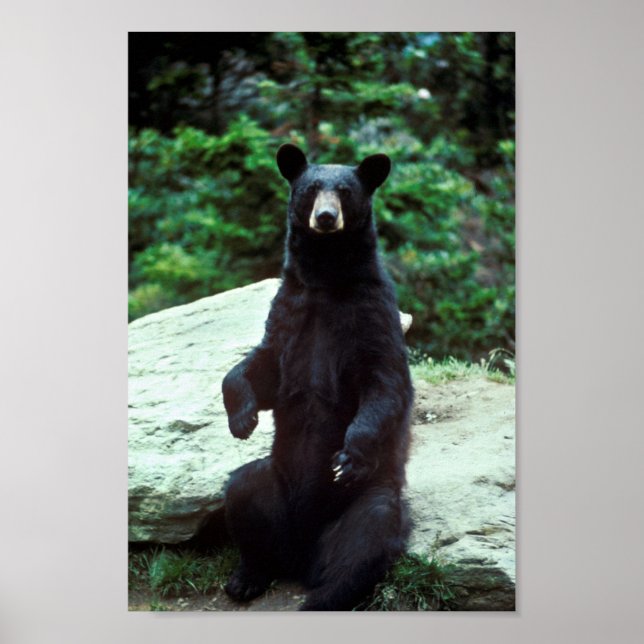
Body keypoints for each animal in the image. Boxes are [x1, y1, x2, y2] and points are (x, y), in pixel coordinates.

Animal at [221, 143, 414, 611]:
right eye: (310, 189)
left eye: (344, 191)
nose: (325, 218)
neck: (327, 280)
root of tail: (301, 558)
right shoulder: (290, 310)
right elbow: (262, 365)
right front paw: (242, 418)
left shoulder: (373, 314)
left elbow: (384, 383)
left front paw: (349, 455)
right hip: (274, 486)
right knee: (244, 491)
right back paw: (247, 577)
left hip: (364, 501)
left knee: (366, 537)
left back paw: (323, 596)